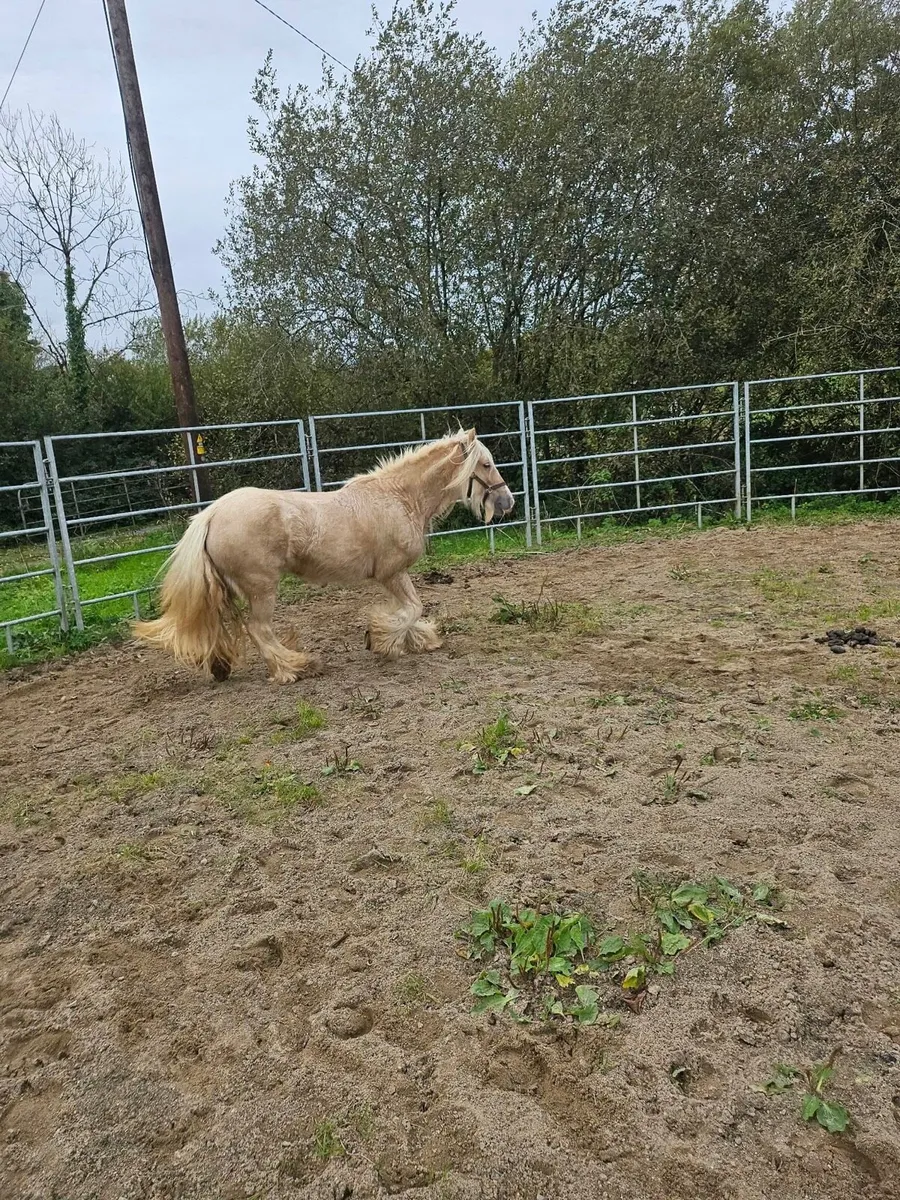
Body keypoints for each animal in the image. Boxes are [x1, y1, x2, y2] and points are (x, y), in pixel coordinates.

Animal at [132, 427, 515, 684]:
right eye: (486, 464)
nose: (507, 501)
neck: (399, 498)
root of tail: (211, 514)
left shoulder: (393, 576)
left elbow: (410, 609)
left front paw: (413, 639)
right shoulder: (391, 573)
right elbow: (412, 608)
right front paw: (382, 640)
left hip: (228, 590)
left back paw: (222, 667)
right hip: (261, 587)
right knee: (259, 629)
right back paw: (295, 667)